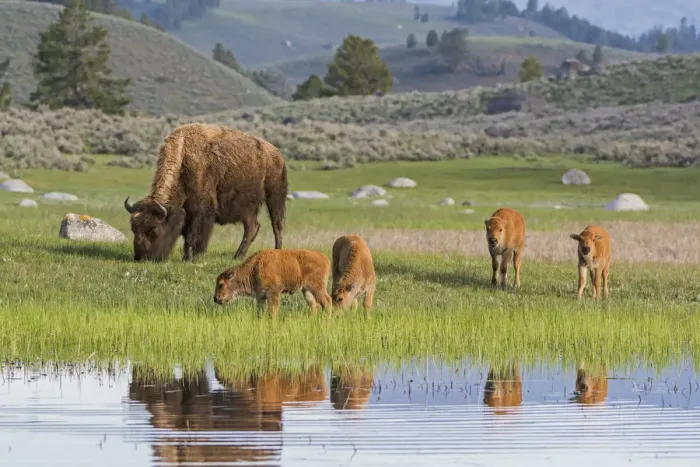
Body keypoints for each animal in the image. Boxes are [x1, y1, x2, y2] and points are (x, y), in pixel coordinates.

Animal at [123, 123, 287, 262]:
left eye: (154, 230)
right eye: (134, 229)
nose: (141, 258)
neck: (183, 158)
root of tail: (278, 154)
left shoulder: (200, 211)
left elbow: (192, 235)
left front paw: (190, 258)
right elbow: (187, 235)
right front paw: (188, 257)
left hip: (274, 198)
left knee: (276, 226)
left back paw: (276, 252)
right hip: (247, 208)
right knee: (252, 227)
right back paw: (237, 256)